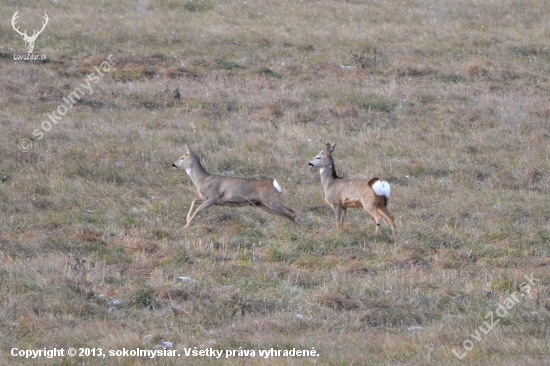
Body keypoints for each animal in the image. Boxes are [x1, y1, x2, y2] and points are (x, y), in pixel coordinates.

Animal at [174, 144, 304, 227]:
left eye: (182, 158)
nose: (173, 164)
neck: (201, 180)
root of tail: (272, 182)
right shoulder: (206, 198)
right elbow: (194, 201)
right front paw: (187, 219)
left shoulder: (212, 197)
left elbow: (197, 210)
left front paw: (186, 226)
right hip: (263, 204)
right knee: (289, 214)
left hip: (272, 200)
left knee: (293, 213)